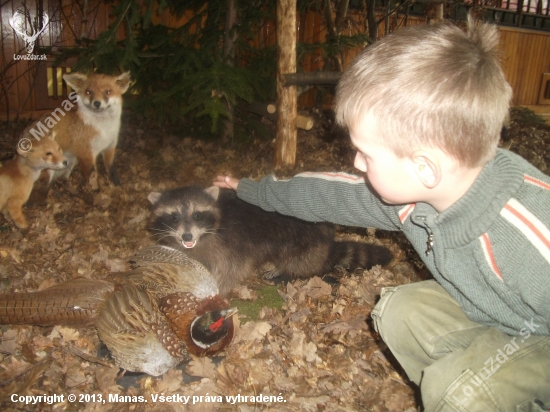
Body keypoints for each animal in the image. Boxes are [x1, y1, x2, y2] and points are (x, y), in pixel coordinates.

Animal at [149, 185, 394, 294]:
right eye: (174, 216)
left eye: (197, 215)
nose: (187, 235)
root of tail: (329, 239)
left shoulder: (231, 247)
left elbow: (228, 272)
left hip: (305, 241)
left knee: (298, 262)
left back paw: (283, 269)